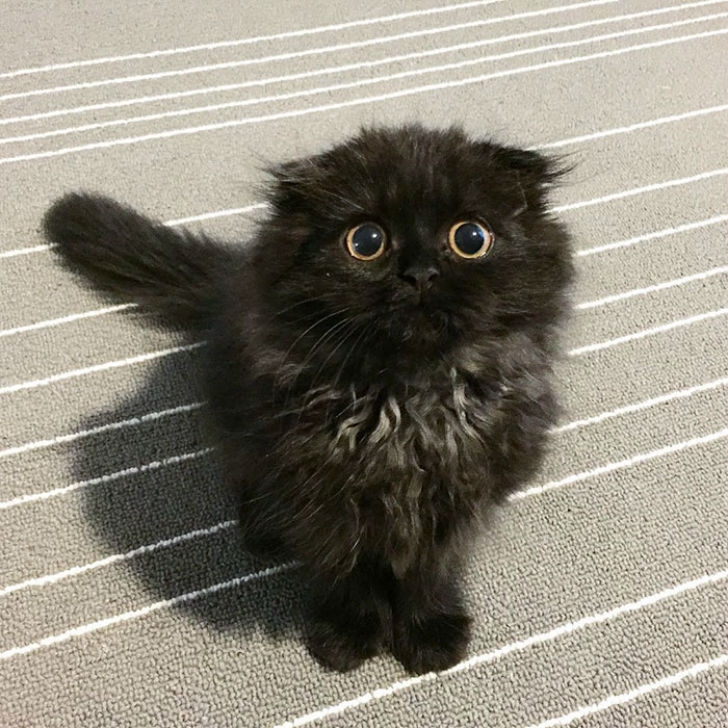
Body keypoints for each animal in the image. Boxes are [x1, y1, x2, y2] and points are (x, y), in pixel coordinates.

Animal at [42, 122, 576, 672]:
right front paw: (347, 635)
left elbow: (428, 570)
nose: (420, 273)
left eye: (470, 238)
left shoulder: (460, 497)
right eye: (366, 241)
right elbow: (344, 570)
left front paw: (429, 632)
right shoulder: (315, 496)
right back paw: (261, 531)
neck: (403, 403)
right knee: (244, 478)